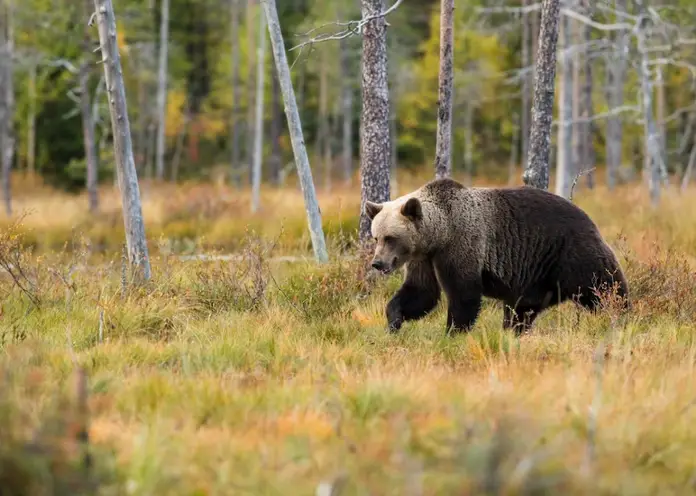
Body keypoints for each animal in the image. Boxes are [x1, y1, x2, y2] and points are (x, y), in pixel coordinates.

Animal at [368, 176, 628, 336]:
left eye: (390, 237)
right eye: (376, 237)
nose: (377, 263)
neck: (439, 234)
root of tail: (589, 218)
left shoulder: (462, 245)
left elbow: (463, 294)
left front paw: (452, 332)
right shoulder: (424, 259)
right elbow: (421, 292)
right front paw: (393, 321)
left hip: (570, 253)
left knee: (604, 286)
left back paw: (621, 315)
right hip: (536, 278)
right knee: (521, 310)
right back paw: (514, 332)